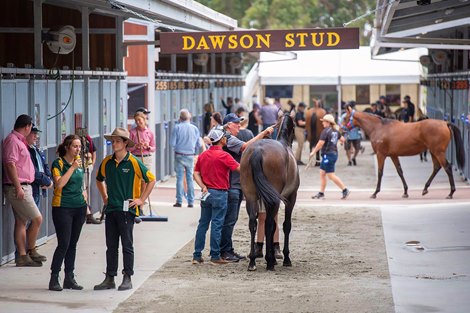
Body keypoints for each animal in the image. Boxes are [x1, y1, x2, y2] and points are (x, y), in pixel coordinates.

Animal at [241, 109, 300, 270]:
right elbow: (285, 226)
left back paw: (252, 261)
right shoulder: (290, 198)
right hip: (273, 198)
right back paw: (269, 262)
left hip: (251, 196)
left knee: (252, 223)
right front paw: (285, 258)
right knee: (268, 224)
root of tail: (258, 150)